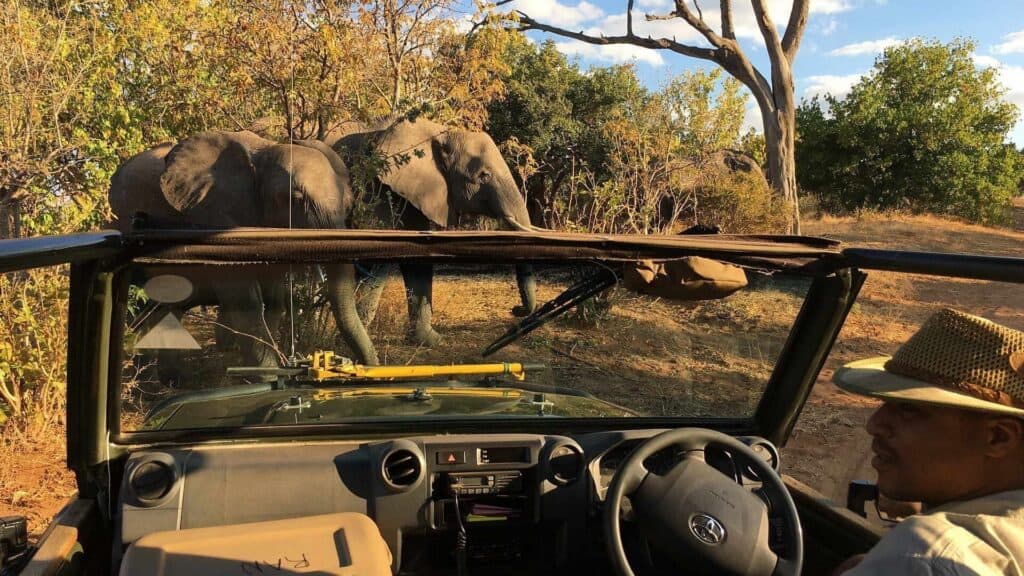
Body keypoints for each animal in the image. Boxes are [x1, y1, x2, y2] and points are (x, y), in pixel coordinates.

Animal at [109, 130, 379, 370]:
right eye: (296, 199)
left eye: (349, 204)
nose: (352, 364)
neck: (264, 154)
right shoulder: (214, 216)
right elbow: (245, 302)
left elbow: (274, 299)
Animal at [334, 117, 539, 346]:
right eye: (484, 176)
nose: (515, 309)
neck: (440, 134)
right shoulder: (377, 189)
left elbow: (418, 256)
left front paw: (431, 341)